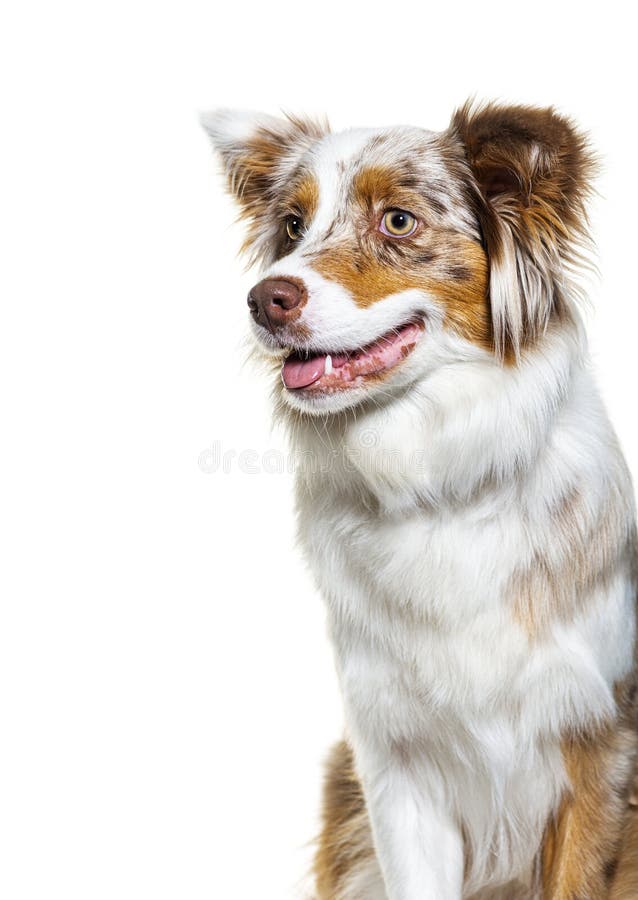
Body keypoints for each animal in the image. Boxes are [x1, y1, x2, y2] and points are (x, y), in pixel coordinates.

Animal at [202, 103, 638, 900]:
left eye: (398, 221)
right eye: (292, 226)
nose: (263, 299)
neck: (437, 481)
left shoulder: (597, 740)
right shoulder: (395, 760)